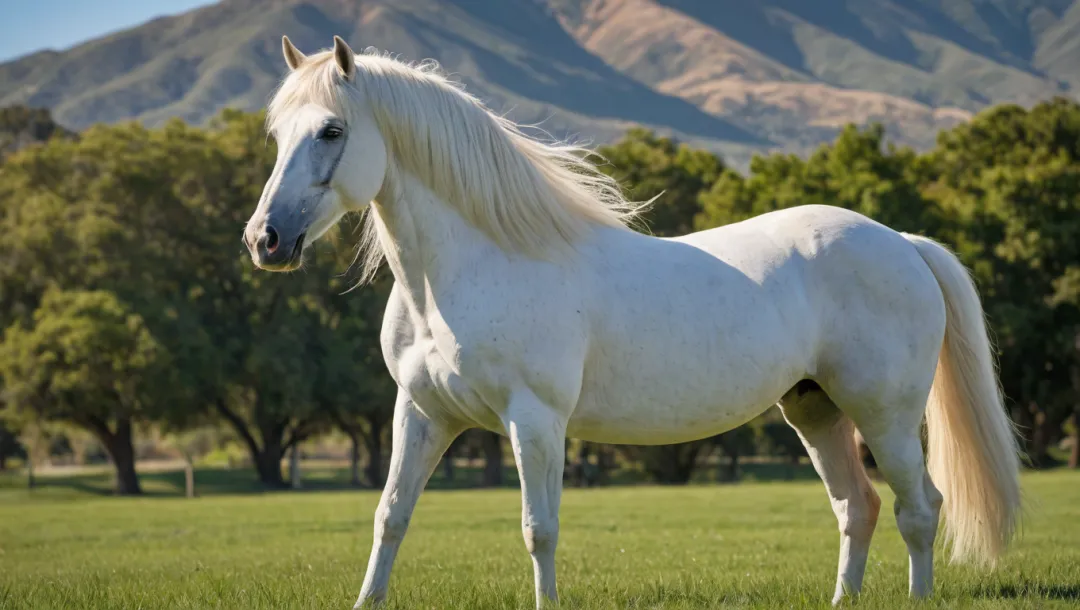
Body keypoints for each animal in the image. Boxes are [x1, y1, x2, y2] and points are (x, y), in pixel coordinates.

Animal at [240, 35, 1023, 604]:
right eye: (277, 134)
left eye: (332, 130)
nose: (265, 241)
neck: (472, 265)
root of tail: (902, 243)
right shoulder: (422, 413)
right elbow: (391, 516)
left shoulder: (535, 420)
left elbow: (539, 530)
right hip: (816, 410)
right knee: (856, 508)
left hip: (885, 414)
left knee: (919, 508)